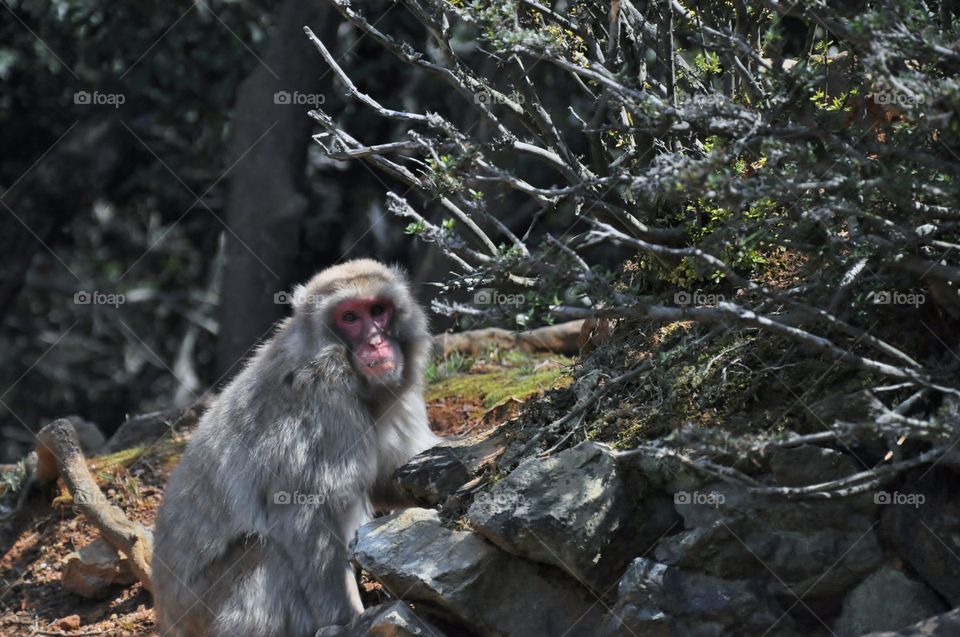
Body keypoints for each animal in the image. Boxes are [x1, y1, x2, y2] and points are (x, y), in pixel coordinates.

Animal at [151, 259, 440, 637]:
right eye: (350, 317)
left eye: (378, 310)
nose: (376, 342)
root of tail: (166, 616)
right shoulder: (324, 395)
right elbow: (303, 516)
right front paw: (348, 617)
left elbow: (385, 479)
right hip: (204, 608)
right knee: (263, 549)